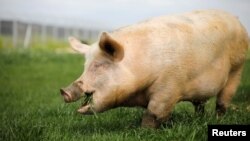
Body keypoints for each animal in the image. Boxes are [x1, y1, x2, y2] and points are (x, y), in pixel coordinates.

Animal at [60, 9, 248, 128]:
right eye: (85, 66)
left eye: (99, 65)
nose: (64, 91)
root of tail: (238, 21)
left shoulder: (170, 85)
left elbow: (154, 112)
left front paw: (145, 131)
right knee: (200, 103)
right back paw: (199, 118)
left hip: (237, 67)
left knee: (223, 99)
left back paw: (218, 118)